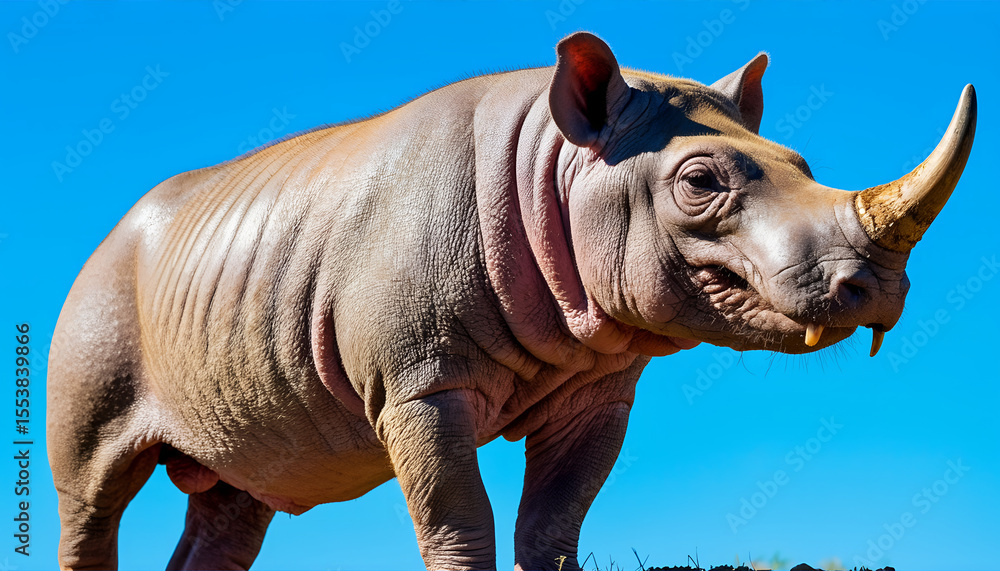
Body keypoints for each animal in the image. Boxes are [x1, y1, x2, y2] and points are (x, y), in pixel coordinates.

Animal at [48, 32, 975, 570]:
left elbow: (554, 523)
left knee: (240, 492)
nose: (878, 288)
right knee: (94, 492)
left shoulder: (596, 382)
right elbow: (460, 518)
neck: (559, 166)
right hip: (97, 295)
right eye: (699, 183)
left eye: (804, 165)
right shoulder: (420, 381)